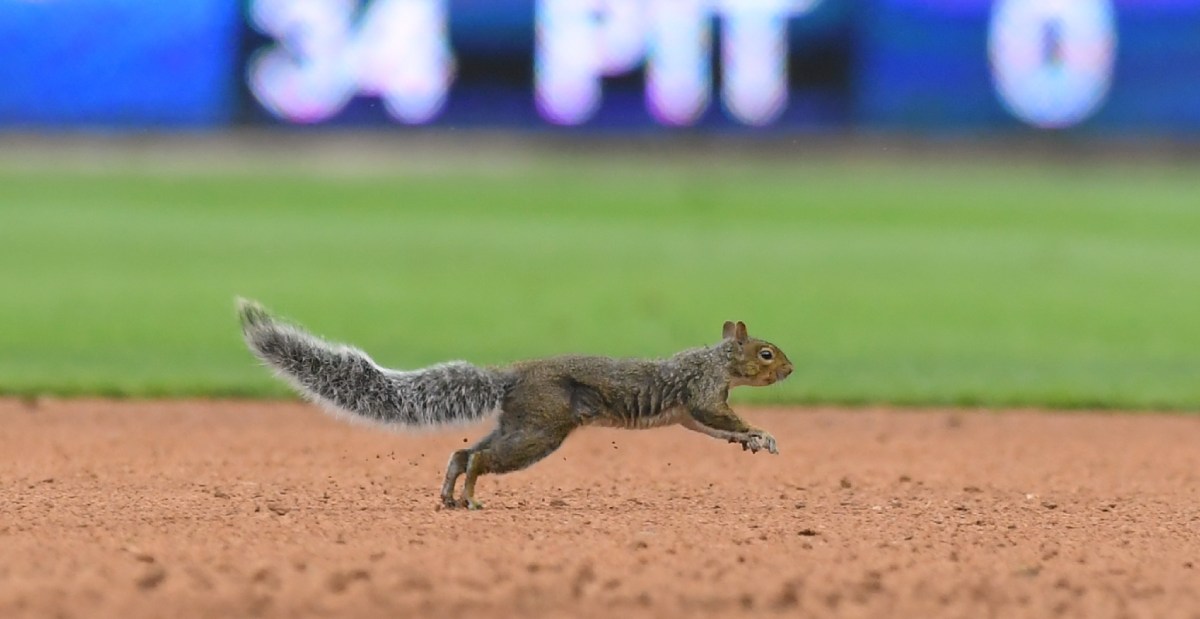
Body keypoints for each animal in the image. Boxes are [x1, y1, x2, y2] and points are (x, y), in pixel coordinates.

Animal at [236, 298, 793, 510]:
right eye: (766, 352)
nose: (790, 370)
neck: (717, 360)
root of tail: (511, 377)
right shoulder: (701, 391)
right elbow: (716, 416)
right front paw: (760, 432)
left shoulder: (691, 411)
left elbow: (713, 428)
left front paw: (750, 441)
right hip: (539, 430)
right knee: (482, 458)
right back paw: (472, 498)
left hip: (520, 424)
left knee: (464, 452)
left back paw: (449, 495)